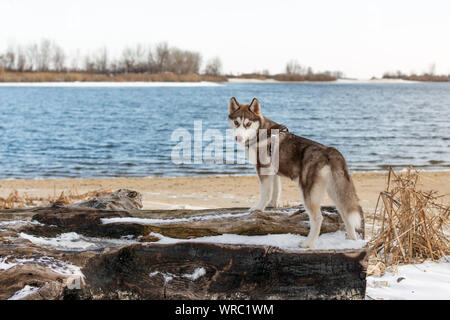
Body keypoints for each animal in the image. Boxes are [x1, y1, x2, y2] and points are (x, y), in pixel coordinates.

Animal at [229, 97, 362, 248]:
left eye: (248, 124)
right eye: (236, 123)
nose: (238, 138)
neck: (260, 133)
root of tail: (329, 151)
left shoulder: (263, 169)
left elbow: (265, 193)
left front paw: (258, 209)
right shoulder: (273, 171)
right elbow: (275, 190)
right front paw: (273, 205)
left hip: (308, 192)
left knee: (318, 218)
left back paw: (308, 243)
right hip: (335, 191)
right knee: (345, 214)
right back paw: (352, 240)